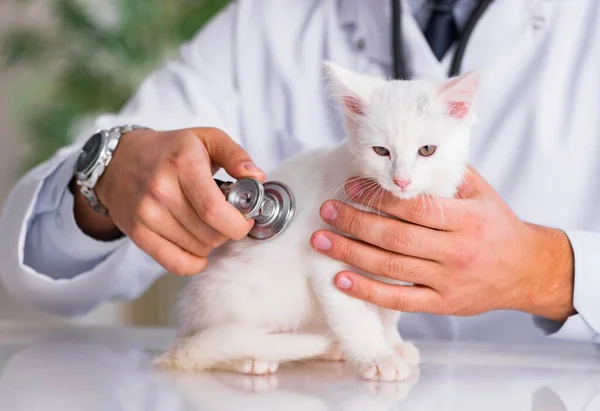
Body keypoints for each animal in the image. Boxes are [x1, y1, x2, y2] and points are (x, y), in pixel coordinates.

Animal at [157, 62, 480, 384]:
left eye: (427, 150)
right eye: (381, 151)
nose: (402, 180)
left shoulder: (391, 269)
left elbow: (387, 311)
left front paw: (393, 343)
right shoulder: (326, 257)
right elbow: (356, 317)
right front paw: (378, 357)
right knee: (213, 342)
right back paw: (249, 356)